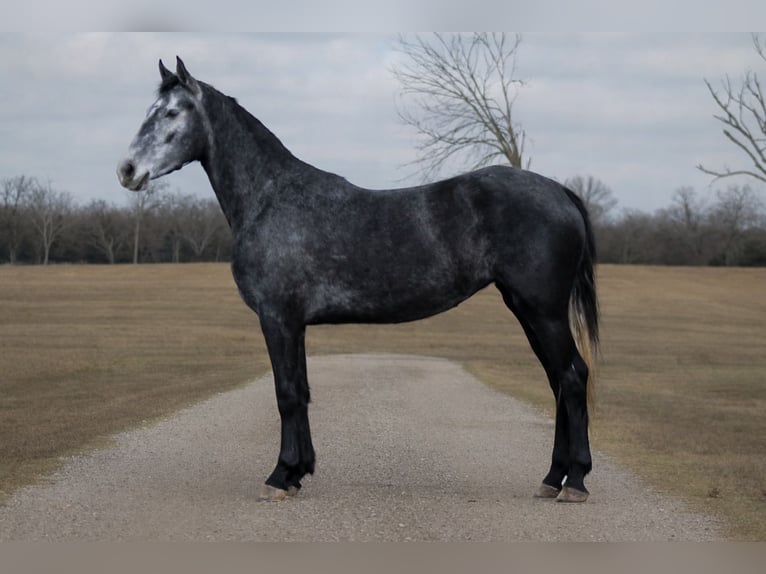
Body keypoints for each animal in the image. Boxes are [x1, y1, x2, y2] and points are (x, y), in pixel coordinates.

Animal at [117, 57, 599, 503]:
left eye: (172, 113)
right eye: (150, 110)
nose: (127, 170)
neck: (271, 198)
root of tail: (559, 192)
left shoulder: (277, 317)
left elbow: (286, 393)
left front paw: (279, 476)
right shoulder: (295, 323)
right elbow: (301, 390)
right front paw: (298, 473)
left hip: (542, 311)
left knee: (572, 377)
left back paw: (574, 482)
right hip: (526, 308)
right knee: (558, 380)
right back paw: (552, 478)